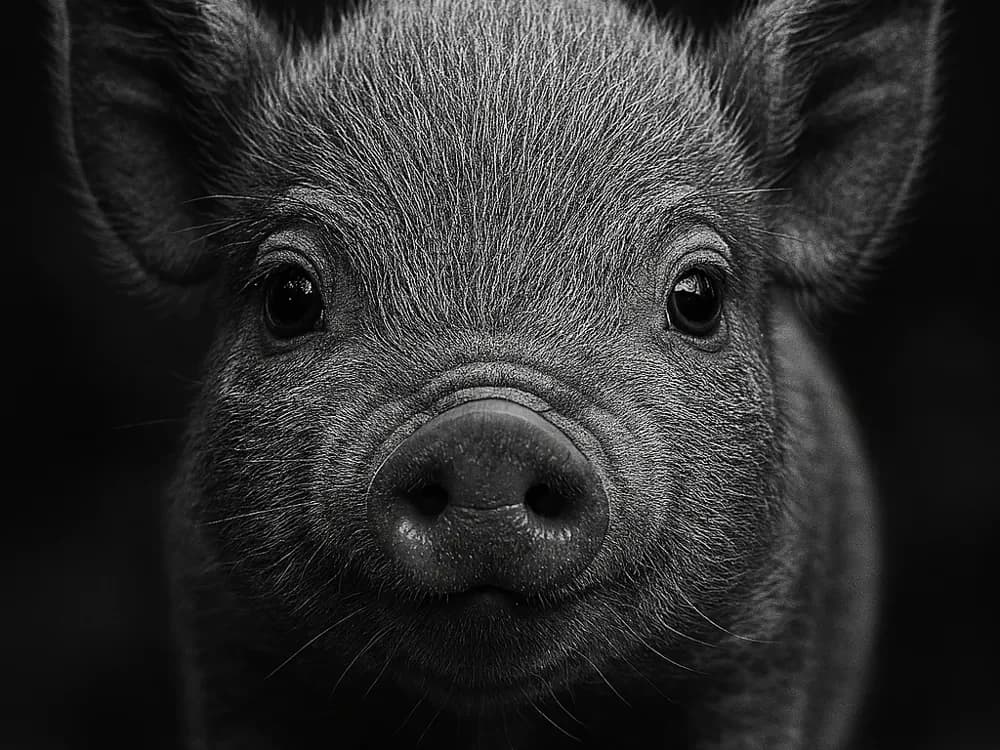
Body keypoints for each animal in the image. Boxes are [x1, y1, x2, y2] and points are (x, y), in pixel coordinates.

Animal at [48, 0, 943, 747]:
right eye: (289, 296)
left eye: (698, 297)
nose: (489, 435)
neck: (495, 727)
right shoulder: (229, 643)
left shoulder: (766, 653)